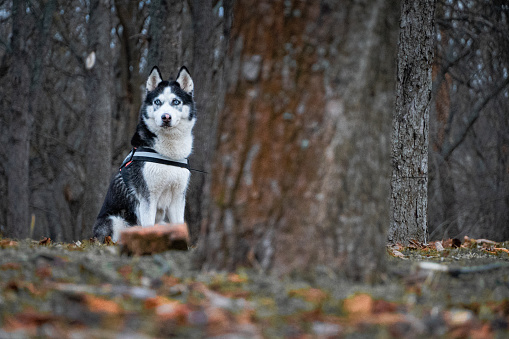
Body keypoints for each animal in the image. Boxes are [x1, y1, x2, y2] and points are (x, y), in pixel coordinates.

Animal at [91, 65, 194, 242]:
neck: (168, 155)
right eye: (157, 102)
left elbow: (180, 225)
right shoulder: (147, 198)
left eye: (176, 102)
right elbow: (148, 225)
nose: (165, 117)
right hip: (115, 220)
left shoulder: (178, 197)